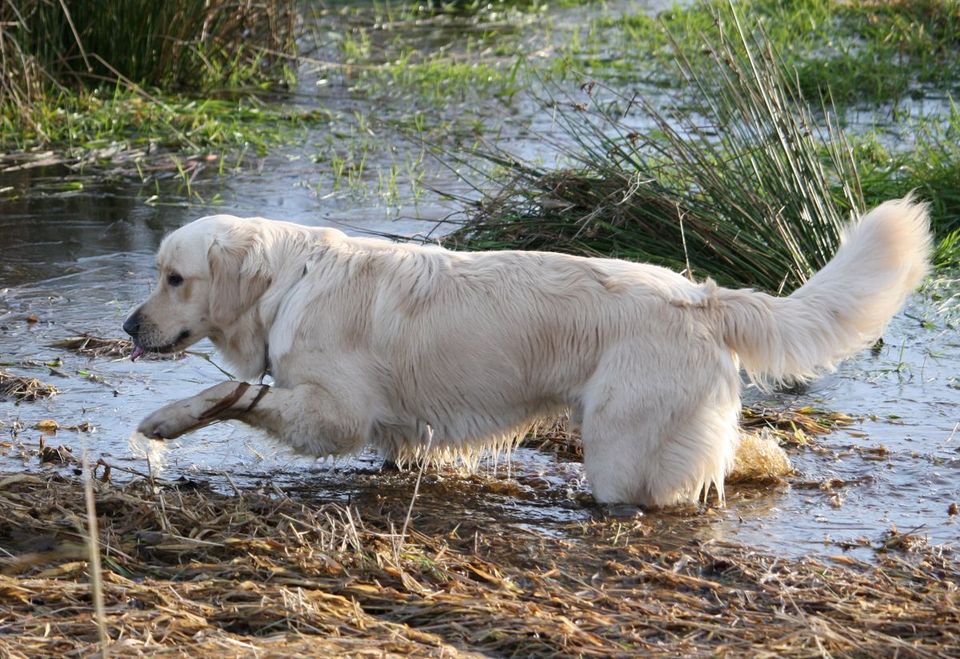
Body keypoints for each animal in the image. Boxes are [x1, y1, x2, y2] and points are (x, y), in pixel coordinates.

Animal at [125, 199, 928, 508]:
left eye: (174, 278)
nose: (130, 326)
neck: (288, 284)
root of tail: (699, 297)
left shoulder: (335, 416)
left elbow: (236, 397)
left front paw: (167, 419)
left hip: (619, 449)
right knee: (736, 451)